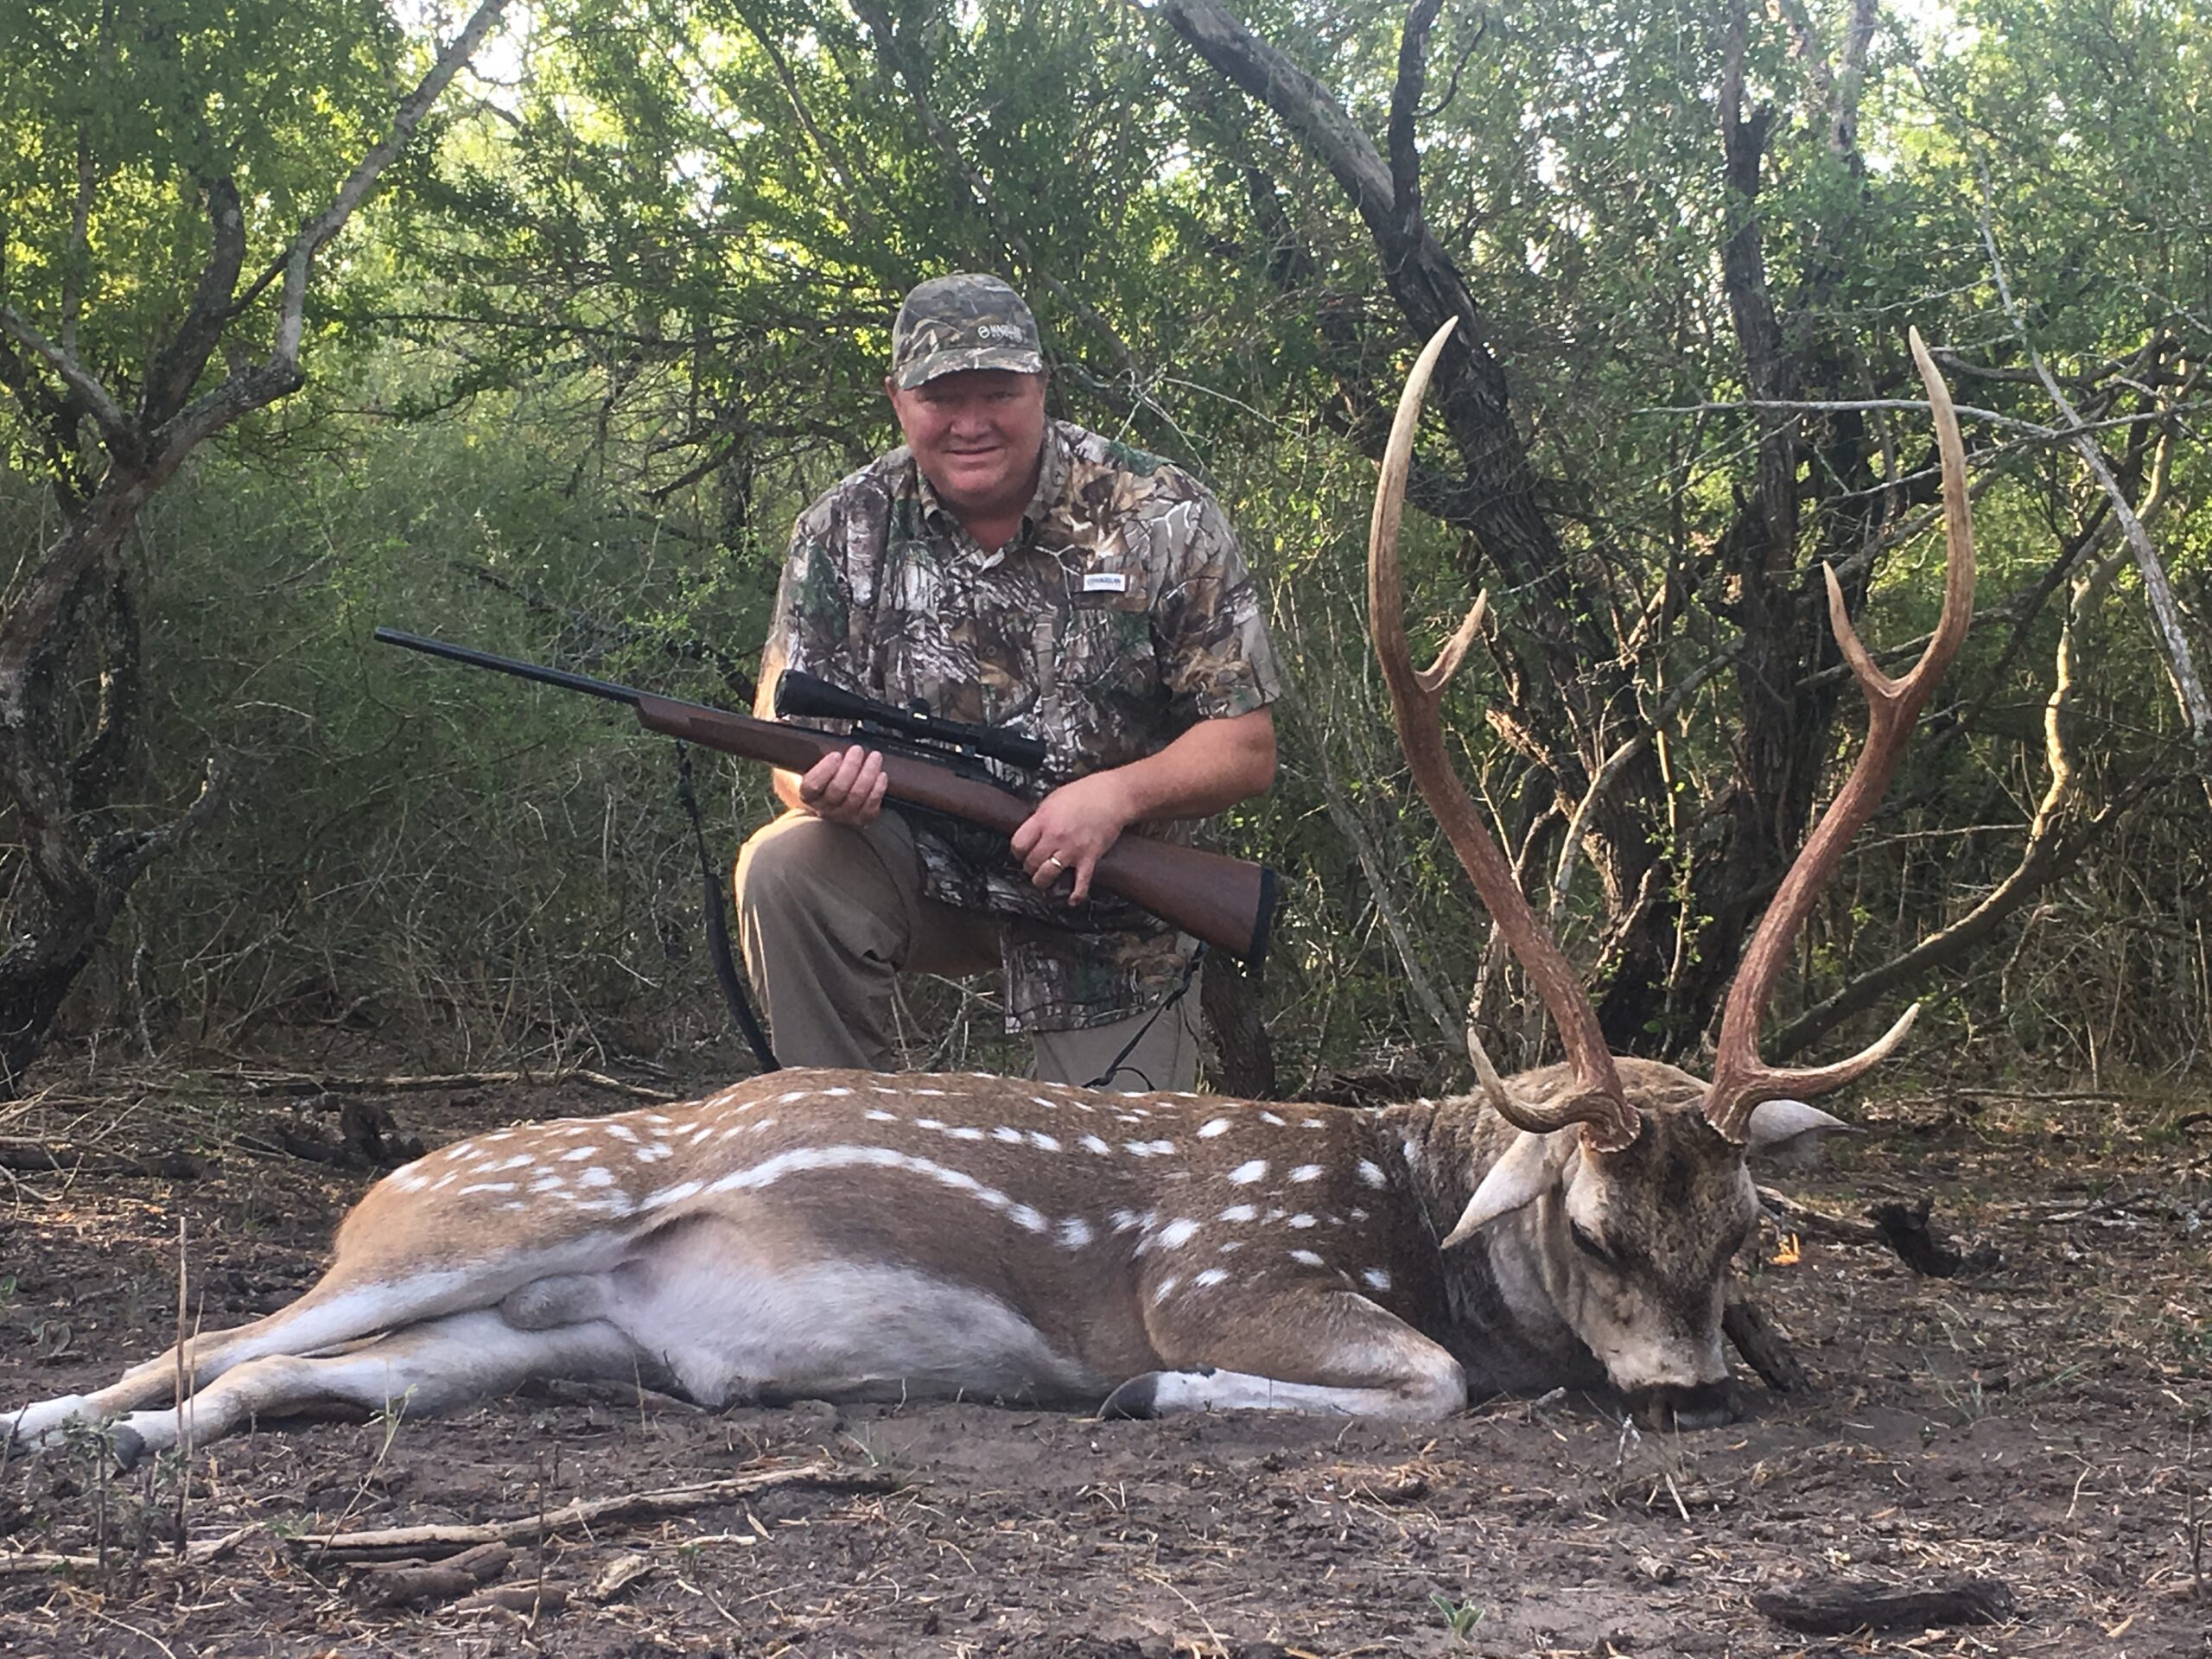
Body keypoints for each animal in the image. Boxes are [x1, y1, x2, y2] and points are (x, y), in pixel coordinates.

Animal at [0, 325, 1973, 1468]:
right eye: (1592, 1225)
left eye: (1744, 1232)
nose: (1687, 1390)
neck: (1409, 1205)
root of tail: (383, 1181)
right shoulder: (1221, 1270)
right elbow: (1417, 1381)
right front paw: (1137, 1394)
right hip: (479, 1226)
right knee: (202, 1333)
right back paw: (49, 1427)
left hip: (512, 1345)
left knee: (263, 1381)